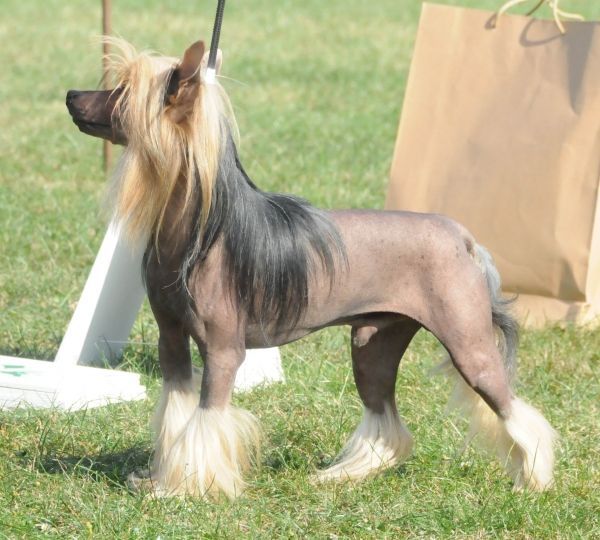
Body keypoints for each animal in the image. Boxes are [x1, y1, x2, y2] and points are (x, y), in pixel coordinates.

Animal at [66, 38, 556, 499]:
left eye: (122, 91)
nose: (71, 94)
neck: (202, 229)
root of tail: (462, 236)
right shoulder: (171, 340)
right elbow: (177, 413)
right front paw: (162, 480)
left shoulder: (223, 352)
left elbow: (206, 419)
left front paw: (187, 489)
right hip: (373, 343)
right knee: (385, 417)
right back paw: (341, 476)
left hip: (468, 343)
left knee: (511, 407)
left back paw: (534, 479)